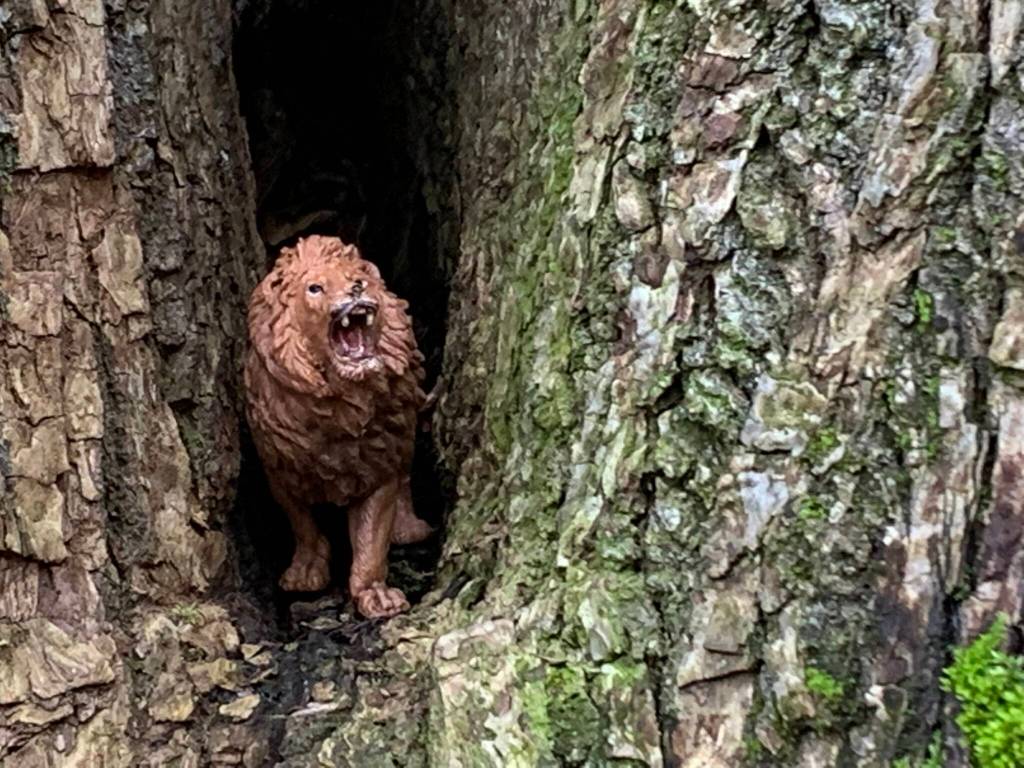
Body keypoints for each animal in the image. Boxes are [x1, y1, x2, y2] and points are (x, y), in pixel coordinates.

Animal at [244, 235, 432, 618]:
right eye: (315, 288)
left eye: (358, 276)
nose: (356, 288)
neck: (341, 407)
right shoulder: (280, 469)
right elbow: (302, 524)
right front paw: (304, 575)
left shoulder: (378, 467)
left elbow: (371, 543)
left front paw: (377, 596)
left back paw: (409, 530)